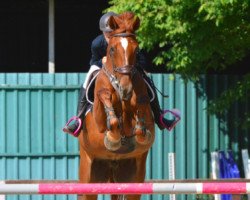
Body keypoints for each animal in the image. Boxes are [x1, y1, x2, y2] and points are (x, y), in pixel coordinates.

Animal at [78, 12, 154, 200]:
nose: (125, 89)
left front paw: (140, 132)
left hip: (132, 175)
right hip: (88, 171)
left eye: (137, 50)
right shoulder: (98, 118)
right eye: (112, 49)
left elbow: (140, 108)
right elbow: (105, 102)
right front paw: (113, 139)